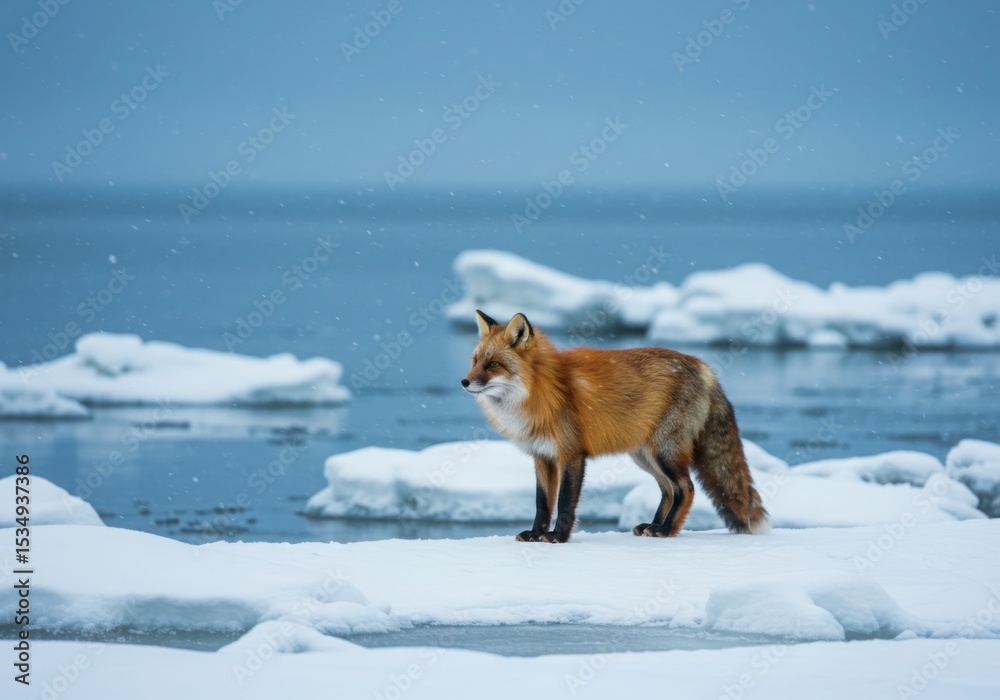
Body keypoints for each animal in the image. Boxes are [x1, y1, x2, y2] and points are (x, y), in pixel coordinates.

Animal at [461, 310, 769, 543]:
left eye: (494, 364)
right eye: (475, 361)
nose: (464, 382)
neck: (540, 391)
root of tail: (703, 367)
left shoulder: (571, 454)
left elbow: (564, 502)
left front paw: (557, 537)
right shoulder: (542, 456)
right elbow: (542, 503)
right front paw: (536, 534)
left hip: (664, 452)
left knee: (686, 488)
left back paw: (667, 530)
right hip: (644, 456)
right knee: (668, 490)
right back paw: (653, 526)